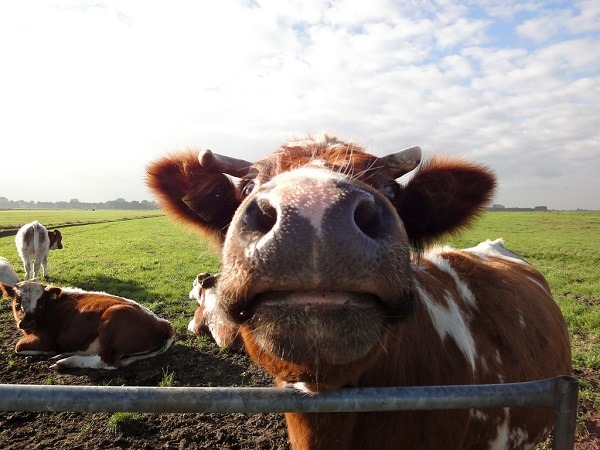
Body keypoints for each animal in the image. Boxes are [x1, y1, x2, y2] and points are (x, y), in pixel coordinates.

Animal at [1, 282, 176, 370]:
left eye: (40, 303)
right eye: (17, 301)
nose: (26, 322)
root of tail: (164, 323)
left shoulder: (46, 341)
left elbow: (18, 346)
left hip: (113, 320)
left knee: (106, 362)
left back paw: (66, 361)